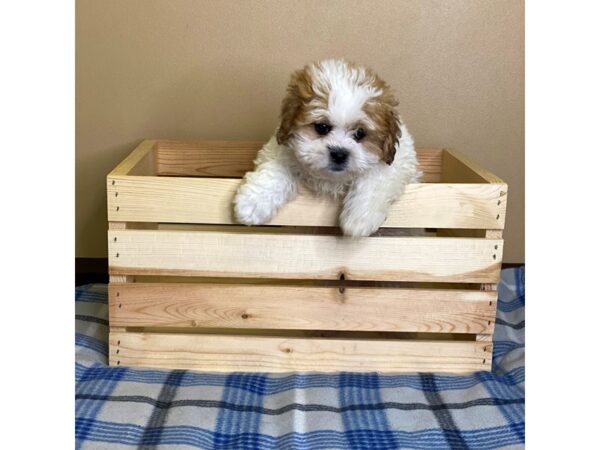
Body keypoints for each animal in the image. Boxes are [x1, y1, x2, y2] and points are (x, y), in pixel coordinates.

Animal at [232, 59, 420, 237]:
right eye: (322, 127)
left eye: (360, 133)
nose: (339, 154)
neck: (331, 181)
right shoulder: (281, 149)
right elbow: (276, 171)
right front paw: (252, 202)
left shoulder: (398, 162)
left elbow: (376, 178)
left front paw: (359, 219)